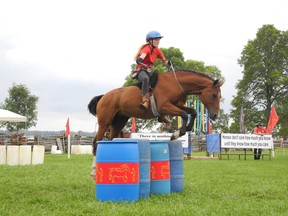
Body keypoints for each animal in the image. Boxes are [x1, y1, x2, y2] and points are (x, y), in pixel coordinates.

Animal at [89, 69, 224, 177]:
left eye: (219, 96)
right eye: (213, 95)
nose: (215, 115)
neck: (176, 84)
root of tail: (103, 97)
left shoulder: (177, 105)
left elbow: (193, 112)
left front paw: (183, 130)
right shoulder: (165, 106)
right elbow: (185, 115)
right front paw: (177, 134)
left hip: (119, 122)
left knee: (109, 140)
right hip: (104, 122)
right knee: (96, 142)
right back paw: (94, 172)